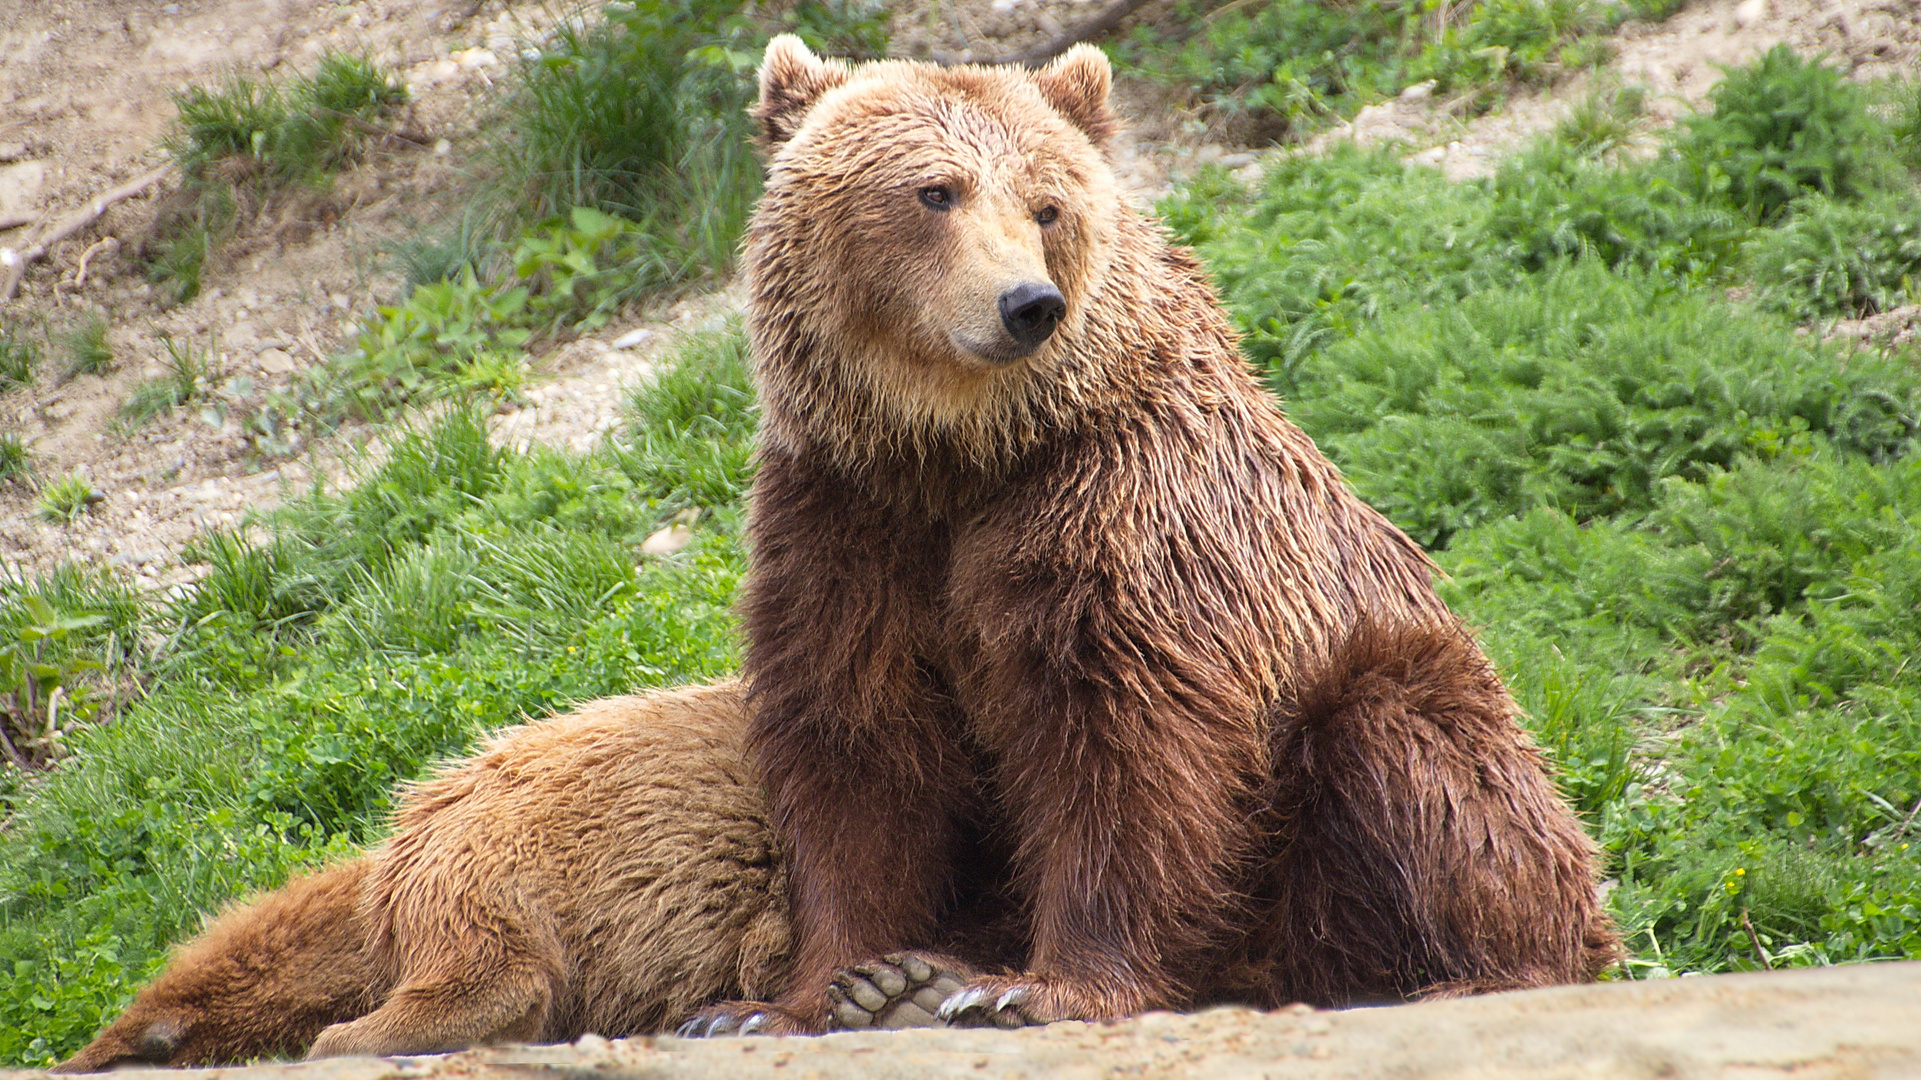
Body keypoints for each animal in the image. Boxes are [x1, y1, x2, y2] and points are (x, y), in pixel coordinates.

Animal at [683, 37, 1629, 1037]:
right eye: (934, 191)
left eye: (1046, 205)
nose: (1028, 303)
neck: (960, 452)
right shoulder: (847, 519)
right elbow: (856, 746)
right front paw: (809, 994)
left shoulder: (1123, 510)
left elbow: (1125, 745)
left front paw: (1033, 988)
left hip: (1416, 740)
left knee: (1415, 756)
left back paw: (1470, 975)